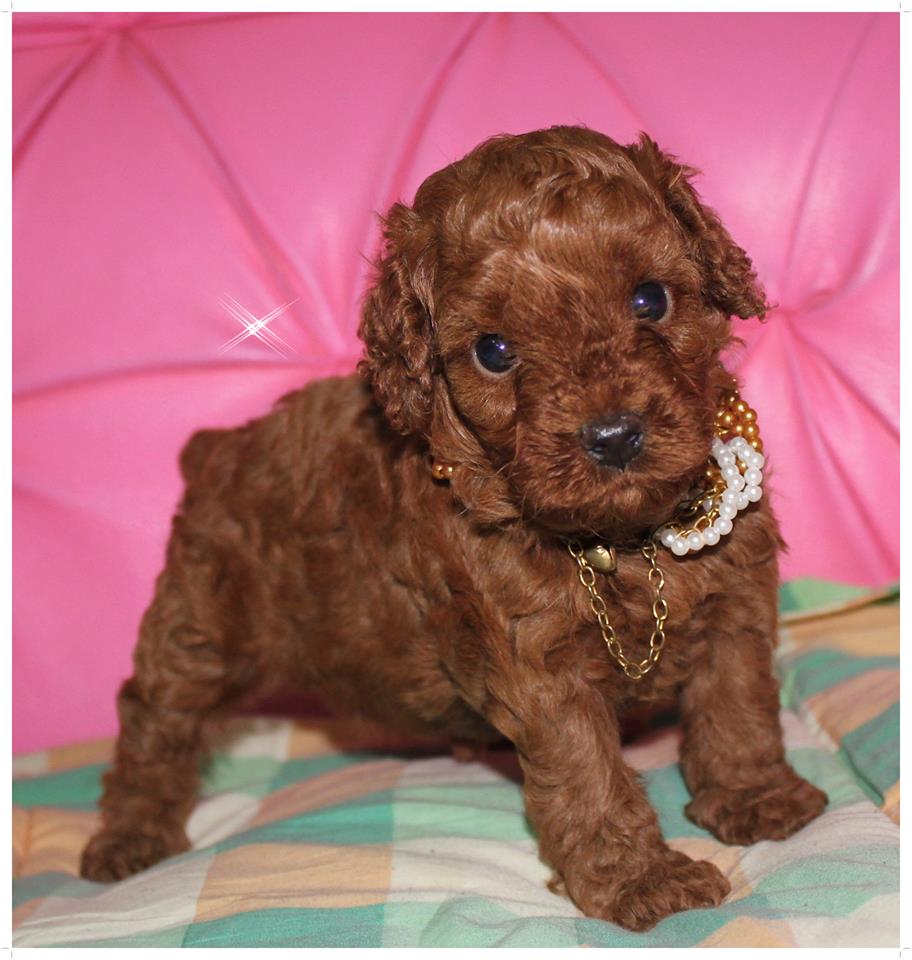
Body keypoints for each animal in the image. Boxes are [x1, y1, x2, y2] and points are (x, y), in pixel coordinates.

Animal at [80, 126, 827, 930]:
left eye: (649, 298)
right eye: (493, 351)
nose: (615, 436)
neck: (619, 543)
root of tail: (217, 446)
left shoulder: (735, 603)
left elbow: (738, 705)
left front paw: (756, 796)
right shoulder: (539, 666)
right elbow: (587, 771)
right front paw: (641, 880)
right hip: (205, 620)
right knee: (156, 715)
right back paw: (130, 834)